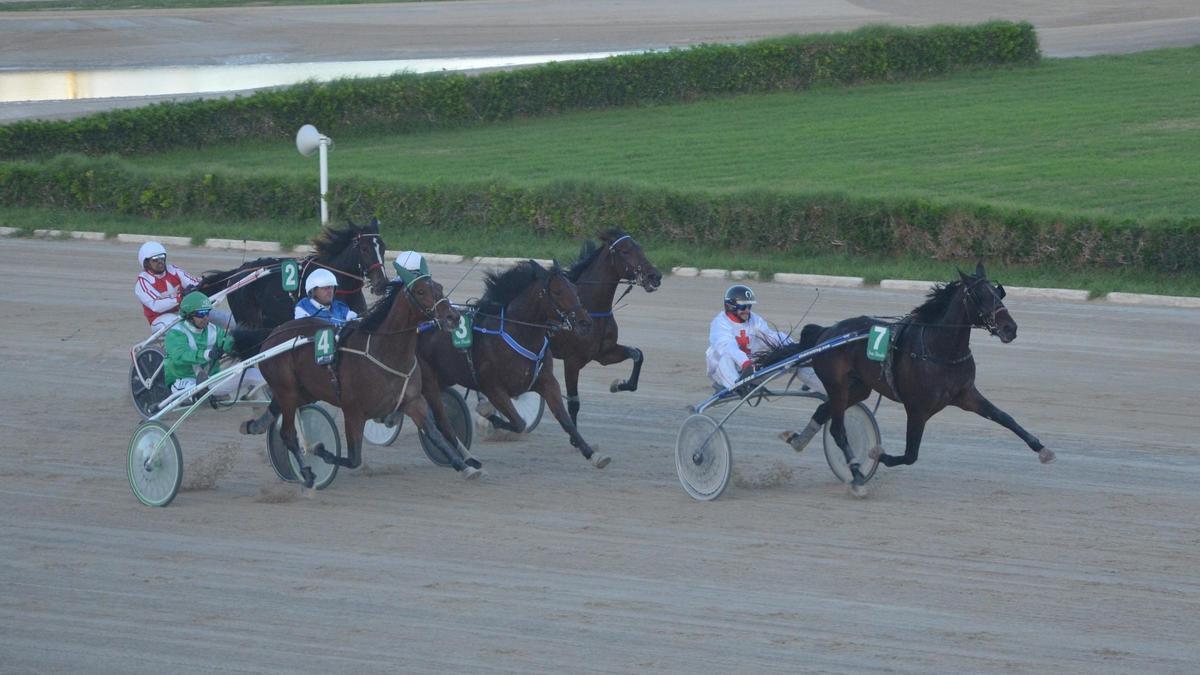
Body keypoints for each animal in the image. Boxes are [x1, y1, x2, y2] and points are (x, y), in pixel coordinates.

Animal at [234, 260, 477, 485]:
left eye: (439, 287)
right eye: (420, 291)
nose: (453, 317)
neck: (385, 353)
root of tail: (271, 337)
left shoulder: (412, 401)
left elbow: (436, 434)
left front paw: (465, 465)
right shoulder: (353, 411)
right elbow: (353, 459)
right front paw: (320, 451)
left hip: (302, 391)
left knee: (276, 414)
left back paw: (253, 426)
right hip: (287, 390)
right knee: (288, 433)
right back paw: (306, 472)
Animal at [420, 260, 609, 466]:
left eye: (574, 289)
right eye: (558, 291)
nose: (585, 323)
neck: (519, 333)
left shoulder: (547, 381)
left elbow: (564, 419)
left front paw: (592, 454)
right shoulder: (492, 387)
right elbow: (519, 423)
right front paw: (489, 416)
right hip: (428, 377)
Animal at [552, 229, 667, 429]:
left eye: (640, 248)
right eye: (625, 251)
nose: (655, 276)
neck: (590, 309)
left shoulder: (604, 353)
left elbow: (638, 354)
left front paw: (619, 385)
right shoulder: (572, 361)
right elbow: (574, 403)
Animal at [753, 263, 1056, 494]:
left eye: (998, 292)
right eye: (980, 295)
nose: (1010, 328)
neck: (938, 350)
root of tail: (825, 332)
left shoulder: (966, 394)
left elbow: (1005, 418)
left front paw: (1042, 448)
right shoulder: (917, 408)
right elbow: (911, 455)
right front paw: (876, 455)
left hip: (858, 387)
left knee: (823, 410)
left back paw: (798, 440)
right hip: (837, 384)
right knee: (838, 429)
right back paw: (857, 475)